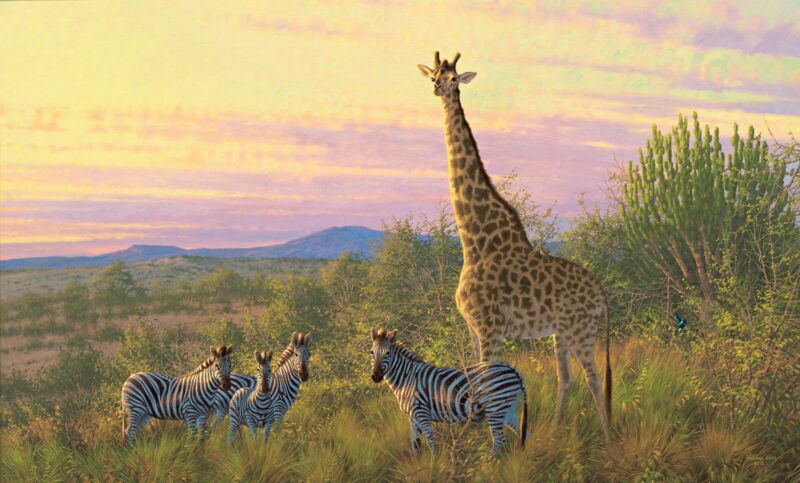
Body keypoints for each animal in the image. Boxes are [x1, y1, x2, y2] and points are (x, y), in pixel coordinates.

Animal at [370, 328, 527, 456]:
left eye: (388, 353)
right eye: (371, 352)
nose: (376, 376)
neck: (407, 379)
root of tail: (511, 369)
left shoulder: (421, 412)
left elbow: (430, 441)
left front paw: (434, 464)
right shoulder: (412, 416)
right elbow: (415, 443)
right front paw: (418, 463)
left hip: (495, 407)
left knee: (500, 439)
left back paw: (489, 464)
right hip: (506, 408)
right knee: (521, 433)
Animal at [417, 52, 611, 438]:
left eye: (453, 78)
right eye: (434, 75)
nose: (437, 88)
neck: (474, 242)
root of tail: (601, 295)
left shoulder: (489, 327)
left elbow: (484, 386)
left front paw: (484, 443)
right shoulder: (474, 329)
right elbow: (471, 382)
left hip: (582, 330)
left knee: (593, 378)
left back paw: (610, 435)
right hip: (560, 332)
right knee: (566, 379)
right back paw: (552, 431)